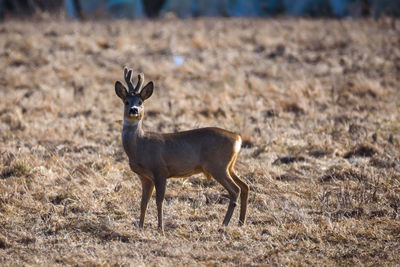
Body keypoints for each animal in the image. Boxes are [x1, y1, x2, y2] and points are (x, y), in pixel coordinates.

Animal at [114, 67, 248, 232]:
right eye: (126, 102)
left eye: (140, 102)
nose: (134, 110)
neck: (140, 145)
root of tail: (237, 137)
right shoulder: (145, 177)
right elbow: (143, 202)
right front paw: (140, 227)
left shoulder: (160, 170)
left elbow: (159, 201)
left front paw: (160, 229)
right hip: (229, 166)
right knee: (245, 186)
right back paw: (241, 222)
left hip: (217, 165)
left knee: (235, 190)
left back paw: (224, 224)